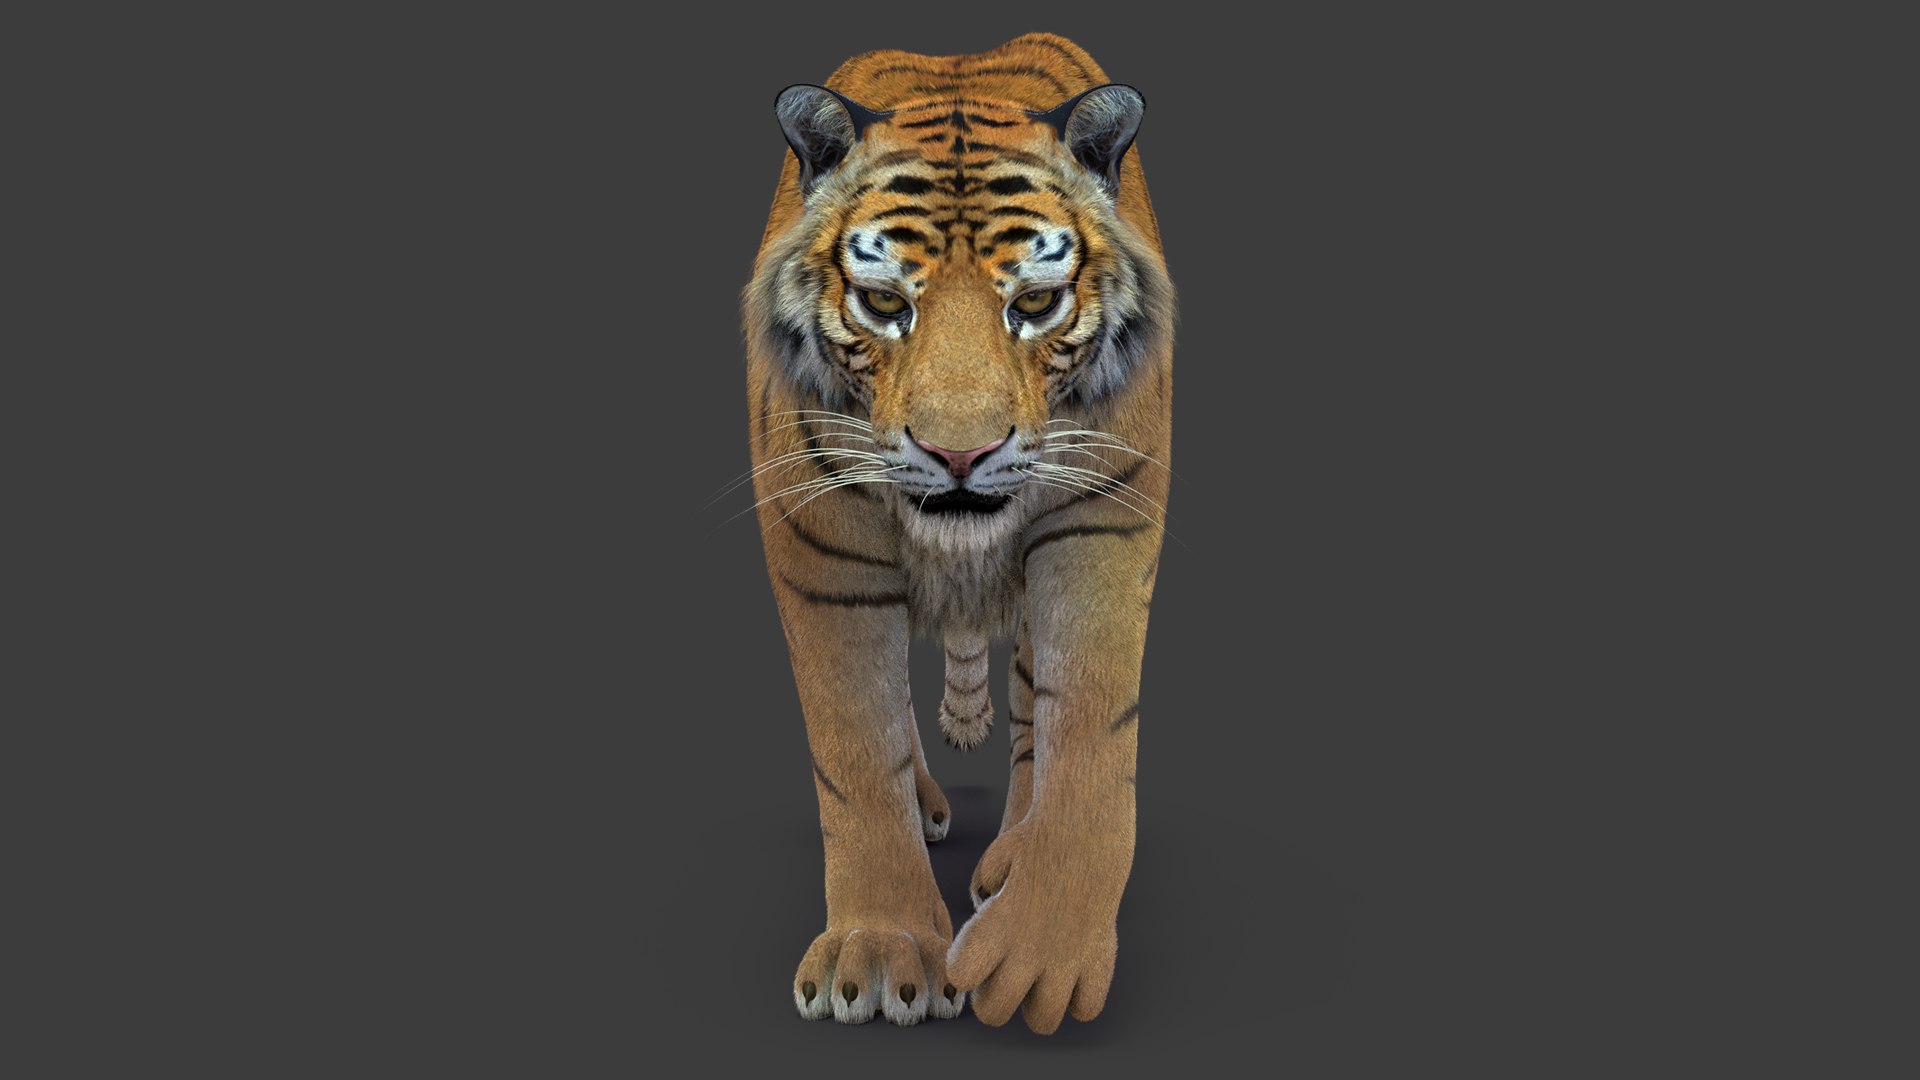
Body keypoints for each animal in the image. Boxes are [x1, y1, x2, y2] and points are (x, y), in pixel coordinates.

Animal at [739, 32, 1174, 1034]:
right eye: (883, 302)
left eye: (1038, 304)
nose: (960, 453)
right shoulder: (823, 542)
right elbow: (857, 750)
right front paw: (879, 952)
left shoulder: (1102, 511)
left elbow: (1090, 728)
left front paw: (1043, 949)